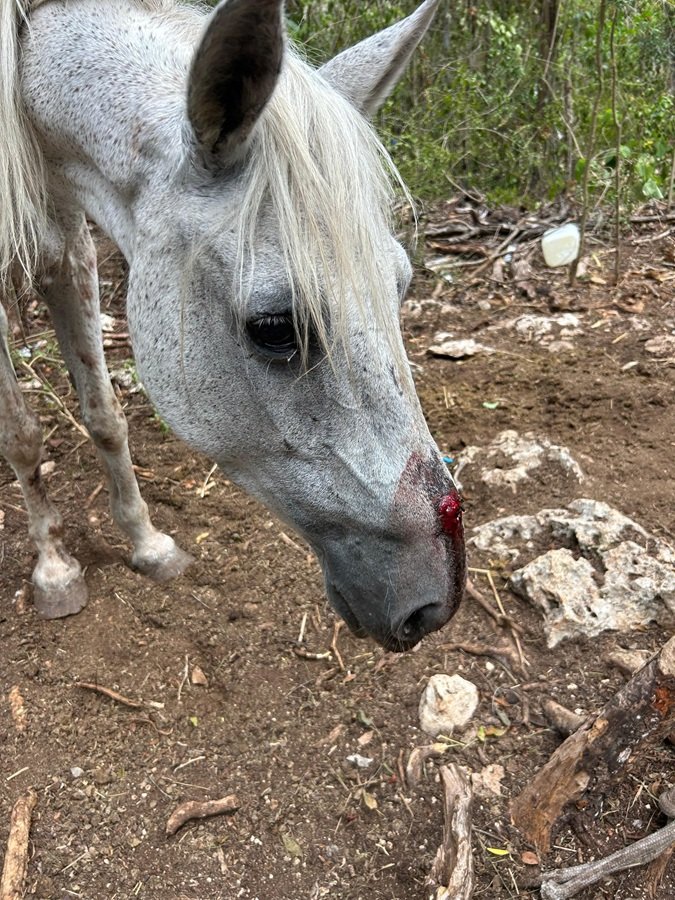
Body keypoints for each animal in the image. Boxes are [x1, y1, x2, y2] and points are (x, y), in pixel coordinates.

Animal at [0, 0, 465, 652]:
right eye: (273, 328)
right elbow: (20, 434)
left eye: (400, 285)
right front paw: (54, 568)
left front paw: (147, 543)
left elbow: (105, 416)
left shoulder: (67, 252)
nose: (436, 603)